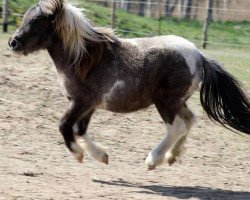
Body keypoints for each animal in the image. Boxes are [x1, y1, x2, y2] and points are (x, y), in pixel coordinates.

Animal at [8, 0, 249, 170]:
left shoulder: (81, 102)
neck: (83, 59)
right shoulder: (89, 105)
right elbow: (79, 129)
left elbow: (64, 125)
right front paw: (102, 156)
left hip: (166, 102)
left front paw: (78, 154)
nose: (13, 42)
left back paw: (153, 160)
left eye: (36, 21)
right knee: (190, 121)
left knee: (176, 127)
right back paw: (172, 156)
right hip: (178, 101)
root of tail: (199, 56)